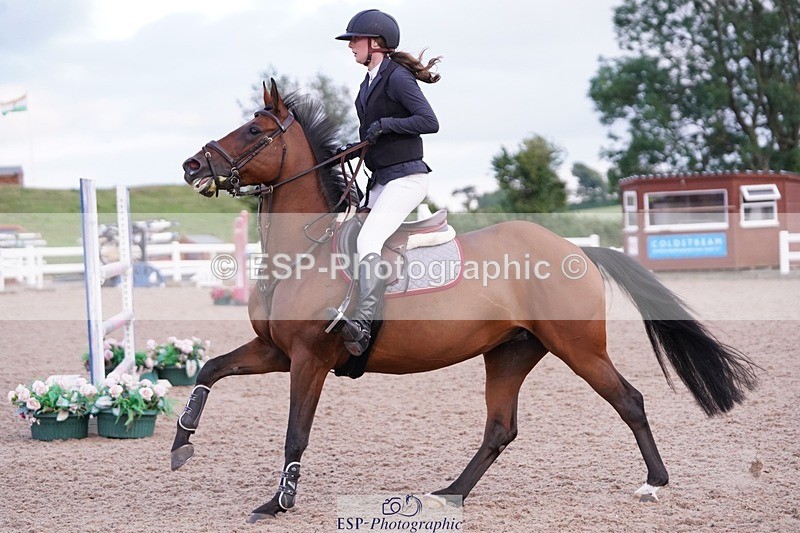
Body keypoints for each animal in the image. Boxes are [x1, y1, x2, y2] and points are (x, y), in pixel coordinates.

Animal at [173, 80, 758, 523]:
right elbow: (209, 368)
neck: (304, 249)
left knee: (628, 400)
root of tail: (576, 249)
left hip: (579, 348)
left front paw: (278, 502)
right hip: (510, 351)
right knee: (501, 428)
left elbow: (295, 433)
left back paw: (654, 482)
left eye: (254, 130)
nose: (191, 166)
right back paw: (450, 492)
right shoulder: (275, 351)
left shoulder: (308, 359)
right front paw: (181, 443)